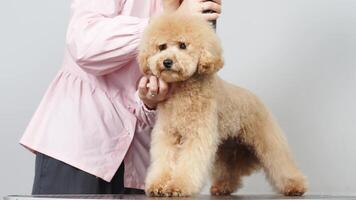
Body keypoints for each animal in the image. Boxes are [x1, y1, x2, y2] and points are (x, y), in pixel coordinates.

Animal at [138, 13, 308, 198]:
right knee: (228, 169)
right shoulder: (167, 134)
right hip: (227, 147)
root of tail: (254, 97)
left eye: (182, 45)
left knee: (280, 160)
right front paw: (158, 185)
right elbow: (164, 160)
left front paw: (178, 186)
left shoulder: (198, 135)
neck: (182, 92)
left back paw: (295, 186)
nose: (167, 62)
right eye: (162, 47)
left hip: (266, 137)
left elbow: (190, 163)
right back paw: (223, 186)